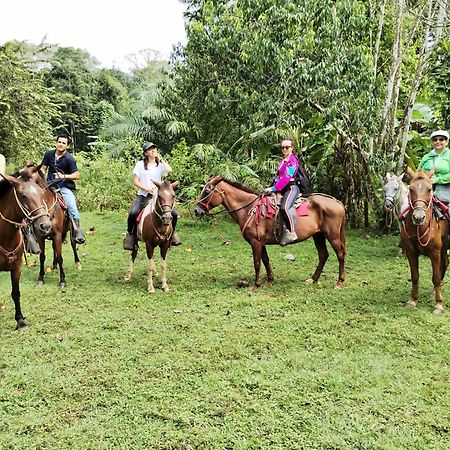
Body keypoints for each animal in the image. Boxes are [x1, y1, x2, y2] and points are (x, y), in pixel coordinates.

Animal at [0, 167, 52, 328]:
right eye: (23, 196)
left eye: (41, 193)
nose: (46, 225)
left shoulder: (17, 266)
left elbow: (16, 293)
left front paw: (20, 320)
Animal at [195, 176, 346, 288]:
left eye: (207, 191)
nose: (196, 210)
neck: (249, 208)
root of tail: (337, 202)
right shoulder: (261, 242)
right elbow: (266, 260)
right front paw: (270, 280)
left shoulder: (255, 242)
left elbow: (257, 263)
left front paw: (256, 285)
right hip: (318, 235)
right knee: (323, 255)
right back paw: (313, 279)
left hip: (332, 236)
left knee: (340, 254)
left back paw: (339, 282)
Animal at [400, 168, 446, 312]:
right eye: (410, 189)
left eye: (430, 189)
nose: (418, 217)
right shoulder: (410, 252)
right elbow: (415, 276)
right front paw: (412, 300)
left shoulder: (435, 253)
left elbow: (435, 277)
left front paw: (438, 304)